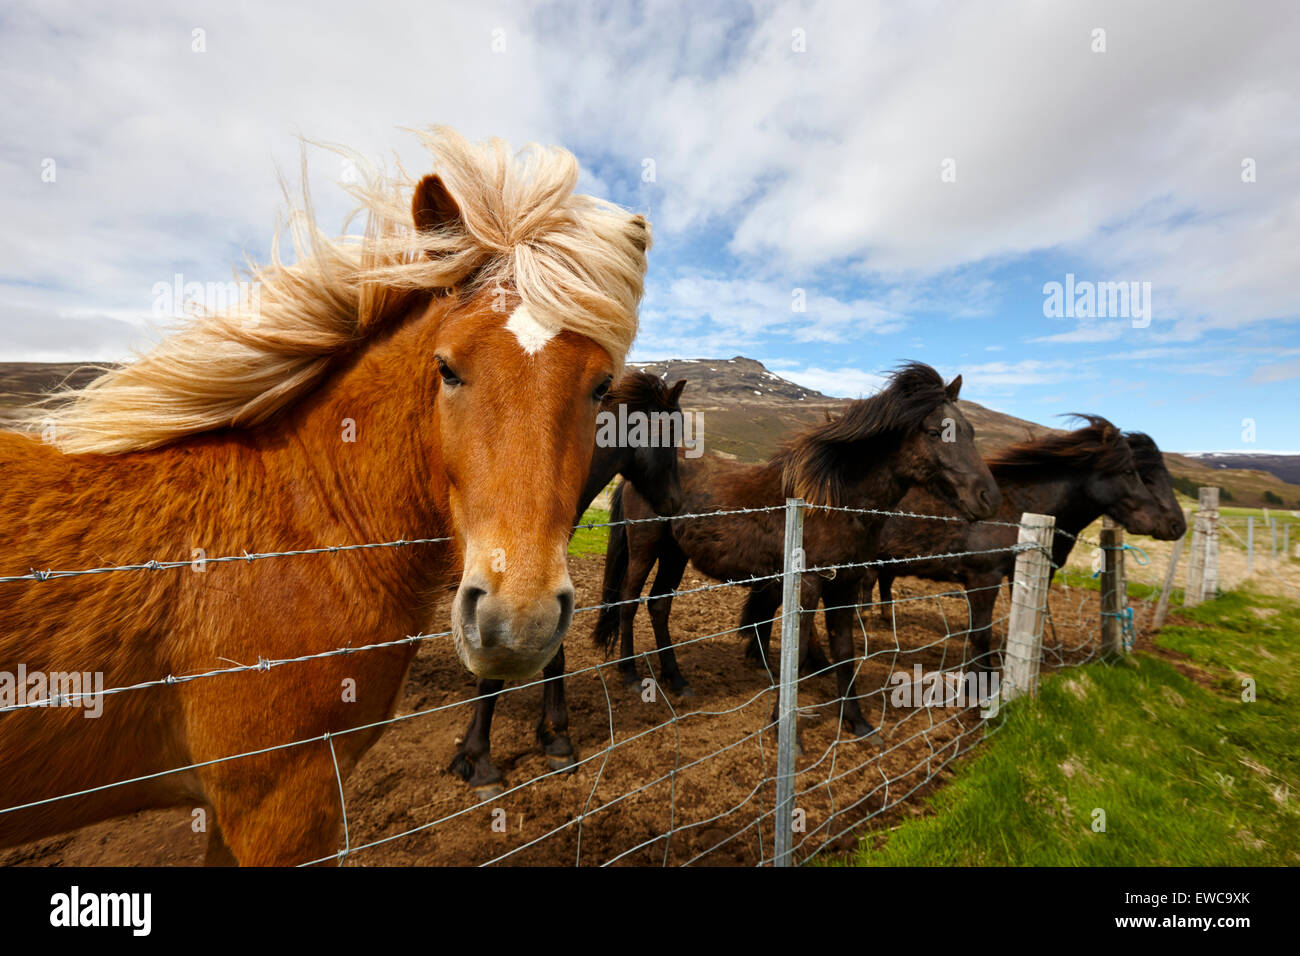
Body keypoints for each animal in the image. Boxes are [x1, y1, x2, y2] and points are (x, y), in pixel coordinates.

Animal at [589, 363, 1000, 738]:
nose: (987, 498)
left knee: (659, 605)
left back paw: (677, 680)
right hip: (646, 546)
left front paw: (857, 723)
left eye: (971, 431)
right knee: (628, 601)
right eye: (935, 432)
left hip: (676, 554)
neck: (834, 500)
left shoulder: (845, 585)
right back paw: (631, 673)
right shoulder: (808, 585)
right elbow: (798, 651)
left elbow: (845, 651)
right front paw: (783, 726)